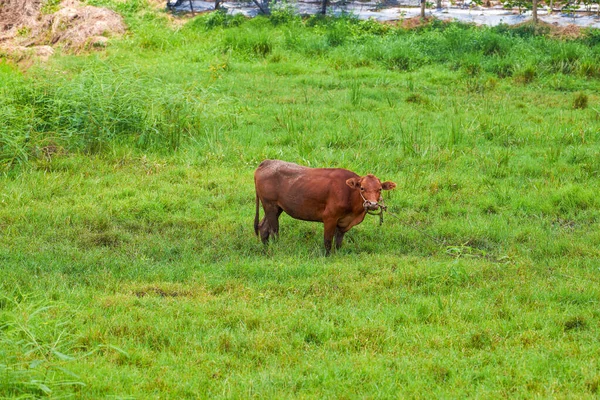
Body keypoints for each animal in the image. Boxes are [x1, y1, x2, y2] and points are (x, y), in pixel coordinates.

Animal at [254, 159, 398, 255]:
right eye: (362, 188)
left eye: (380, 189)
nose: (372, 204)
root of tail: (267, 162)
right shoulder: (329, 217)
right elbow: (328, 241)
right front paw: (327, 256)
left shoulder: (344, 222)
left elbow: (338, 242)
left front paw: (337, 254)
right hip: (270, 205)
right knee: (274, 231)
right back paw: (275, 248)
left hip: (277, 207)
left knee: (263, 227)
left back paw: (265, 249)